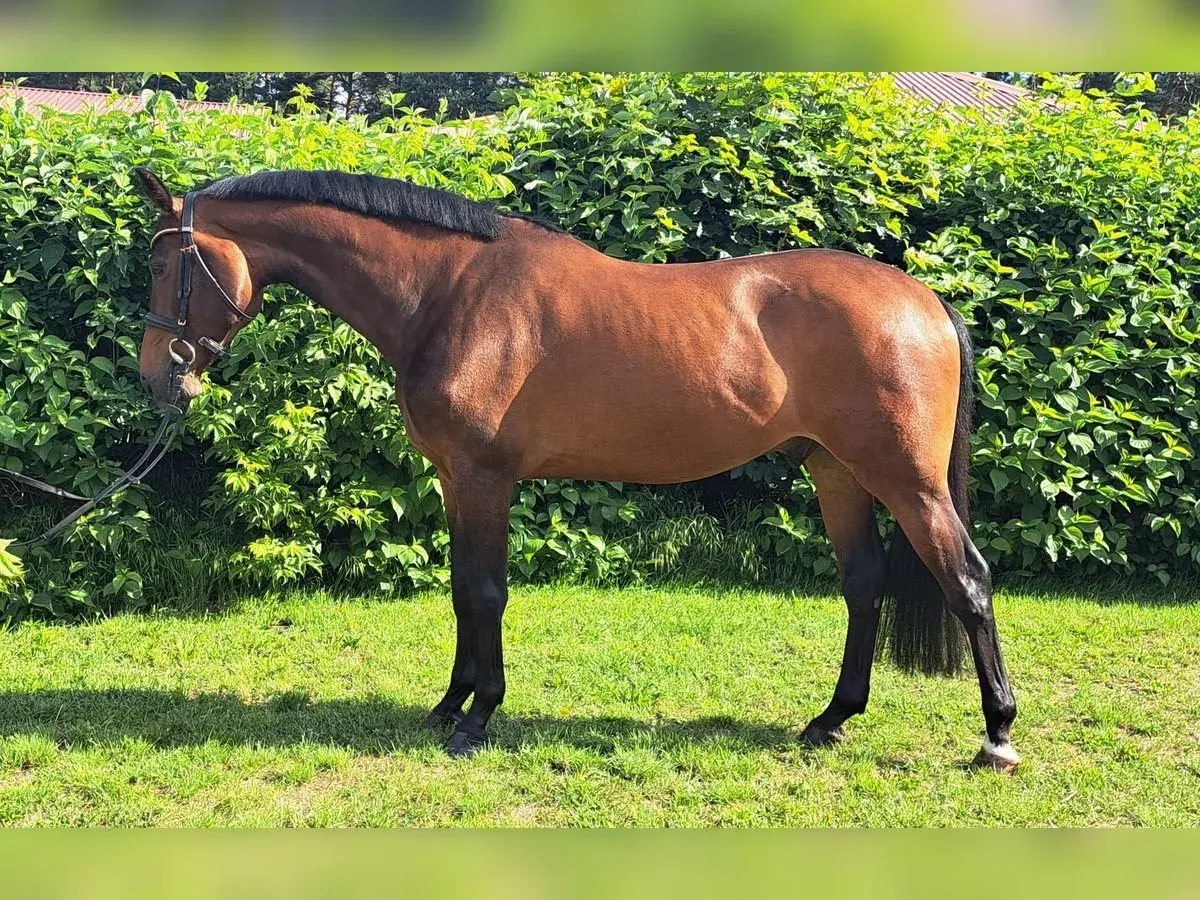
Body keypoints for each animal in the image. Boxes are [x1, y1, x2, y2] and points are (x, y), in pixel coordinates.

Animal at [133, 166, 1019, 772]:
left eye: (166, 267)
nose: (155, 375)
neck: (449, 293)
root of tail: (927, 301)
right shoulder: (456, 479)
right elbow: (462, 591)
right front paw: (449, 703)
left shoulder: (485, 477)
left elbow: (486, 593)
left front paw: (476, 719)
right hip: (835, 471)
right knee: (864, 585)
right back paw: (830, 719)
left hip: (906, 480)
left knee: (967, 581)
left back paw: (998, 735)